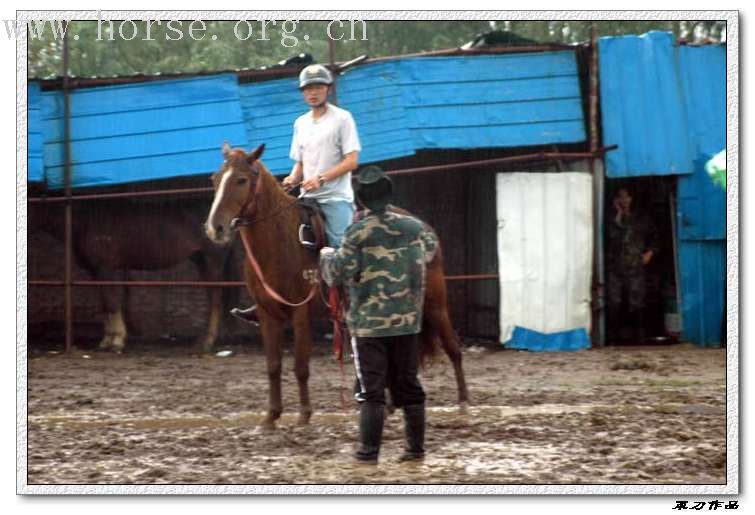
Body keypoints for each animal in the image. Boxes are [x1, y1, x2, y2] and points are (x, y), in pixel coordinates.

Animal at [204, 143, 470, 430]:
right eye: (215, 179)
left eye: (241, 180)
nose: (215, 228)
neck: (280, 242)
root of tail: (422, 225)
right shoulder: (267, 314)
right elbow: (273, 365)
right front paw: (271, 416)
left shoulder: (300, 311)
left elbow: (300, 365)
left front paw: (304, 415)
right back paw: (390, 405)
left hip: (434, 302)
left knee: (453, 347)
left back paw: (463, 403)